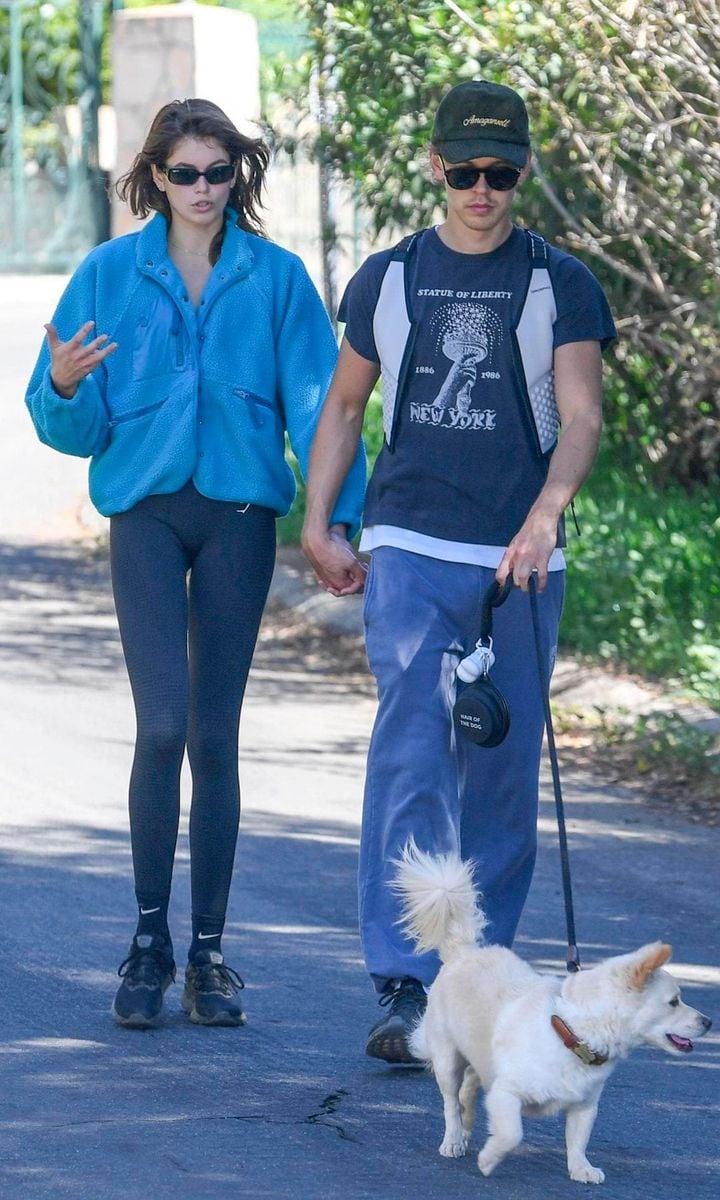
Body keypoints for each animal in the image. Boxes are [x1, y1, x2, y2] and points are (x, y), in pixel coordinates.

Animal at [396, 840, 710, 1185]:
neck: (572, 1032)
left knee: (468, 1091)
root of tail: (464, 952)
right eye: (674, 1001)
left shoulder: (585, 1106)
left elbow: (577, 1139)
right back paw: (453, 1139)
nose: (708, 1022)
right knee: (451, 1102)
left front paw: (581, 1168)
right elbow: (512, 1134)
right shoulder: (506, 1093)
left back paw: (465, 1131)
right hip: (447, 1059)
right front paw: (489, 1160)